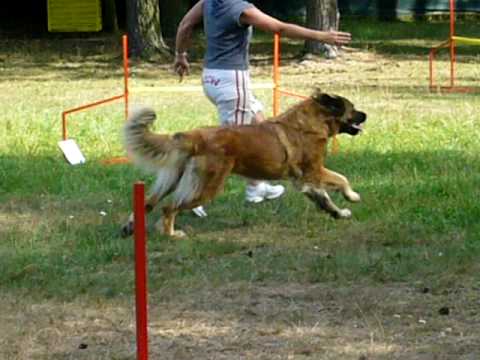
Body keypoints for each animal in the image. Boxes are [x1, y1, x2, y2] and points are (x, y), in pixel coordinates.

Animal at [121, 89, 368, 236]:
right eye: (352, 108)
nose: (365, 115)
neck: (314, 121)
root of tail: (195, 136)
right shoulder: (314, 171)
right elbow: (342, 179)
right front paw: (353, 197)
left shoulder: (305, 180)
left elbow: (323, 198)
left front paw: (338, 213)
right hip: (207, 187)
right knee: (168, 207)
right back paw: (171, 234)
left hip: (173, 178)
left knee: (148, 202)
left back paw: (130, 226)